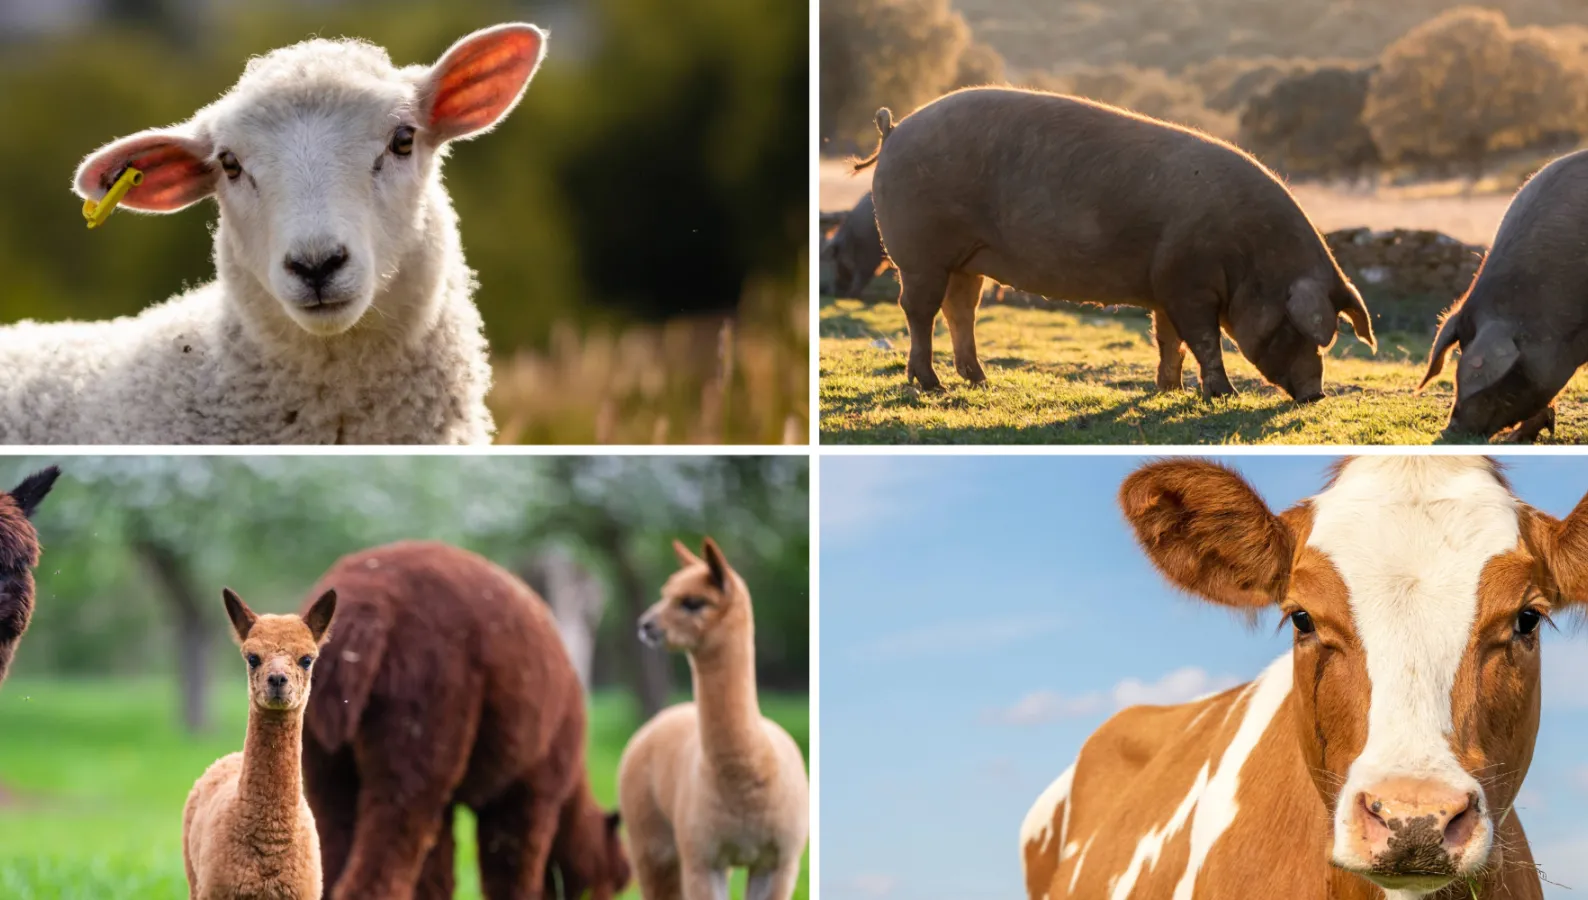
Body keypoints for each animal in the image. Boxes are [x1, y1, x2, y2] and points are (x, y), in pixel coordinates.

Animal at [857, 88, 1365, 398]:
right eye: (1293, 327)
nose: (1316, 394)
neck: (1249, 256)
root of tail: (894, 129)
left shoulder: (1166, 285)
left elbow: (1170, 341)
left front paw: (1170, 391)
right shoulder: (1188, 283)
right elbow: (1203, 339)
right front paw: (1223, 394)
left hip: (966, 260)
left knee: (960, 310)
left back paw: (980, 382)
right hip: (920, 254)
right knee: (918, 310)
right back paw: (932, 385)